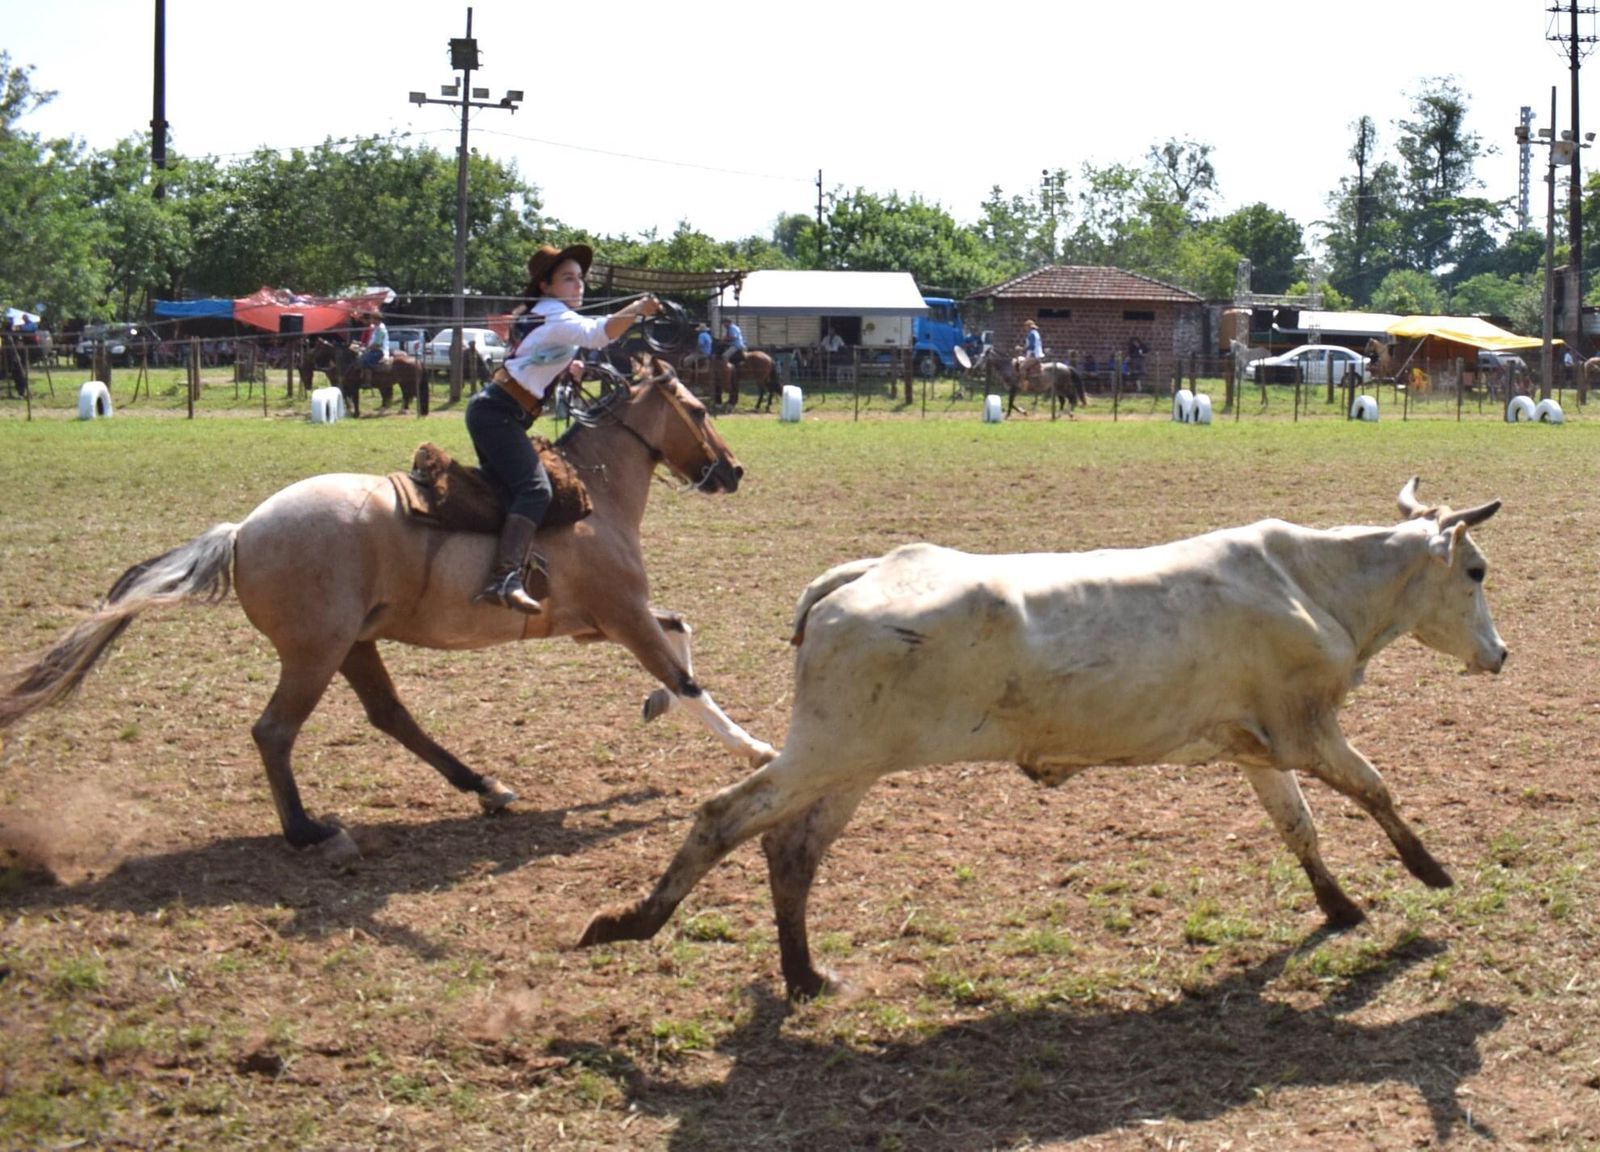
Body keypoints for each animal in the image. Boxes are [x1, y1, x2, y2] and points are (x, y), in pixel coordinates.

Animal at [0, 358, 768, 857]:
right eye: (700, 410)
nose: (732, 472)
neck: (591, 495)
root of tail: (243, 530)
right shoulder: (623, 616)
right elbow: (687, 679)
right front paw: (753, 750)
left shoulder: (599, 623)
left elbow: (683, 633)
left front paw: (655, 707)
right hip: (316, 652)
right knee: (275, 731)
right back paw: (308, 831)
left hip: (353, 644)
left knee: (390, 716)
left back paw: (485, 785)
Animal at [582, 480, 1504, 998]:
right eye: (1477, 570)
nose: (1499, 655)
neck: (1314, 584)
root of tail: (866, 573)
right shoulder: (1307, 728)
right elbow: (1373, 786)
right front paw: (1430, 870)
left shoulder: (1258, 746)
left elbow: (1299, 825)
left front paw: (1340, 905)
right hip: (827, 750)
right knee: (723, 817)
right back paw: (630, 922)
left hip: (849, 764)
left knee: (791, 850)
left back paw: (806, 975)